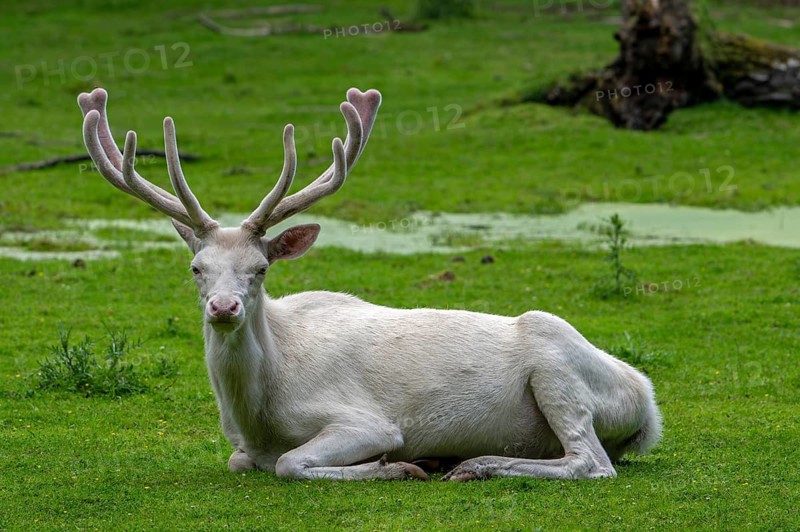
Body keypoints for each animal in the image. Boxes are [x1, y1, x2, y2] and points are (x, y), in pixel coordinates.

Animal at [77, 87, 662, 481]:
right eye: (196, 268)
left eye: (260, 269)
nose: (223, 308)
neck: (259, 413)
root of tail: (647, 401)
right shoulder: (241, 446)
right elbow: (238, 461)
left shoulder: (366, 420)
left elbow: (291, 463)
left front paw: (397, 466)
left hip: (557, 363)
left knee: (592, 462)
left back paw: (474, 464)